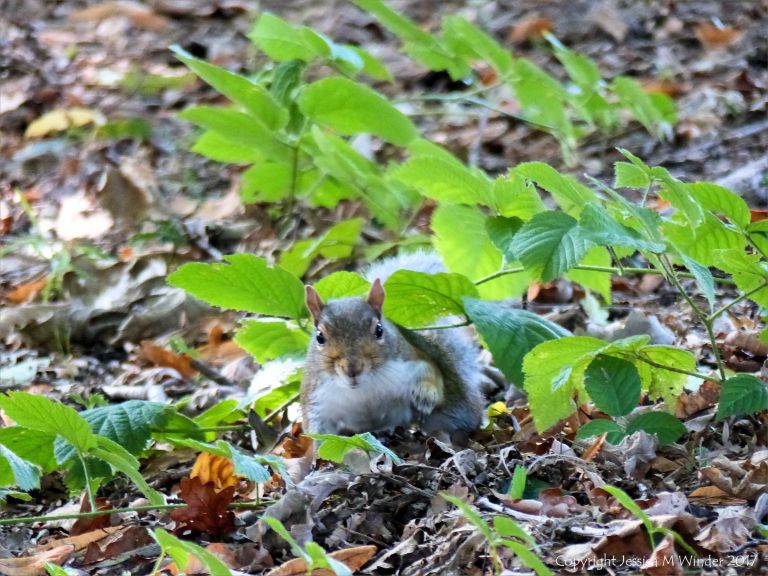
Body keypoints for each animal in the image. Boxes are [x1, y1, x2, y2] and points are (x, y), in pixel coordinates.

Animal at [300, 251, 496, 443]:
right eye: (319, 337)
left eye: (379, 330)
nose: (352, 369)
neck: (363, 387)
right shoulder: (317, 401)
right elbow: (320, 435)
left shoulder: (408, 358)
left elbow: (430, 368)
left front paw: (425, 393)